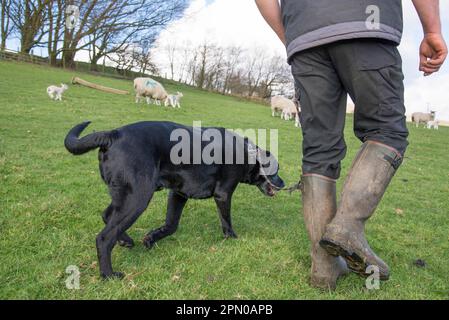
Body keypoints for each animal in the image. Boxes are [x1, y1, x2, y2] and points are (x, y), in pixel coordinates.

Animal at [64, 121, 284, 278]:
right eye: (276, 170)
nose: (283, 183)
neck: (249, 154)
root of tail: (112, 134)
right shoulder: (223, 194)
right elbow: (227, 221)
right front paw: (232, 238)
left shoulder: (178, 194)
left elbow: (171, 225)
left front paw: (151, 238)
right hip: (138, 197)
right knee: (104, 237)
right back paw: (108, 274)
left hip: (125, 196)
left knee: (107, 215)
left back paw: (125, 240)